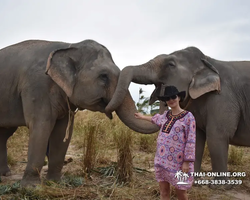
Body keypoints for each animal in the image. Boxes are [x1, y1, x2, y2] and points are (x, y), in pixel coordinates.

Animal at [0, 39, 158, 187]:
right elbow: (41, 126)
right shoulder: (36, 86)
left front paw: (56, 182)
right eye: (103, 76)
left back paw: (5, 173)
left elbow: (62, 132)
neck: (69, 46)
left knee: (5, 134)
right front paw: (31, 188)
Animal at [105, 47, 250, 178]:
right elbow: (196, 137)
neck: (208, 60)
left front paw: (219, 188)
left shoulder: (222, 97)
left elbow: (217, 136)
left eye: (171, 64)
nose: (108, 112)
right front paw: (190, 180)